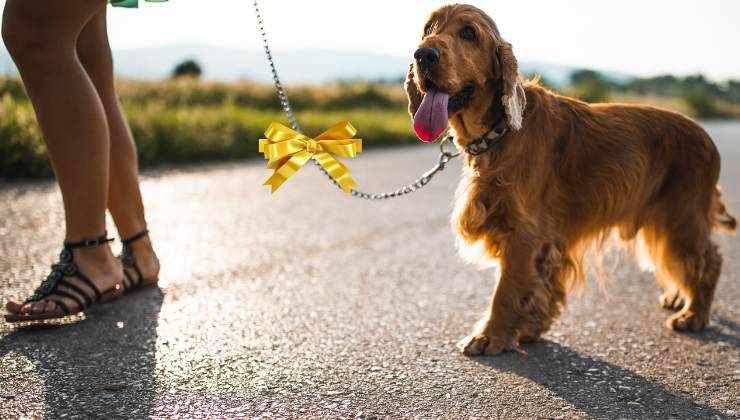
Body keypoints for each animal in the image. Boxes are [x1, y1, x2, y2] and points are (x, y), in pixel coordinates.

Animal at [404, 4, 736, 356]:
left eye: (469, 32)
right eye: (427, 29)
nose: (422, 55)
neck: (502, 132)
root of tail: (707, 138)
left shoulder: (525, 232)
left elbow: (505, 290)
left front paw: (489, 336)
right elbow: (538, 289)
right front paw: (529, 328)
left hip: (681, 219)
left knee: (709, 261)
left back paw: (694, 314)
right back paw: (678, 298)